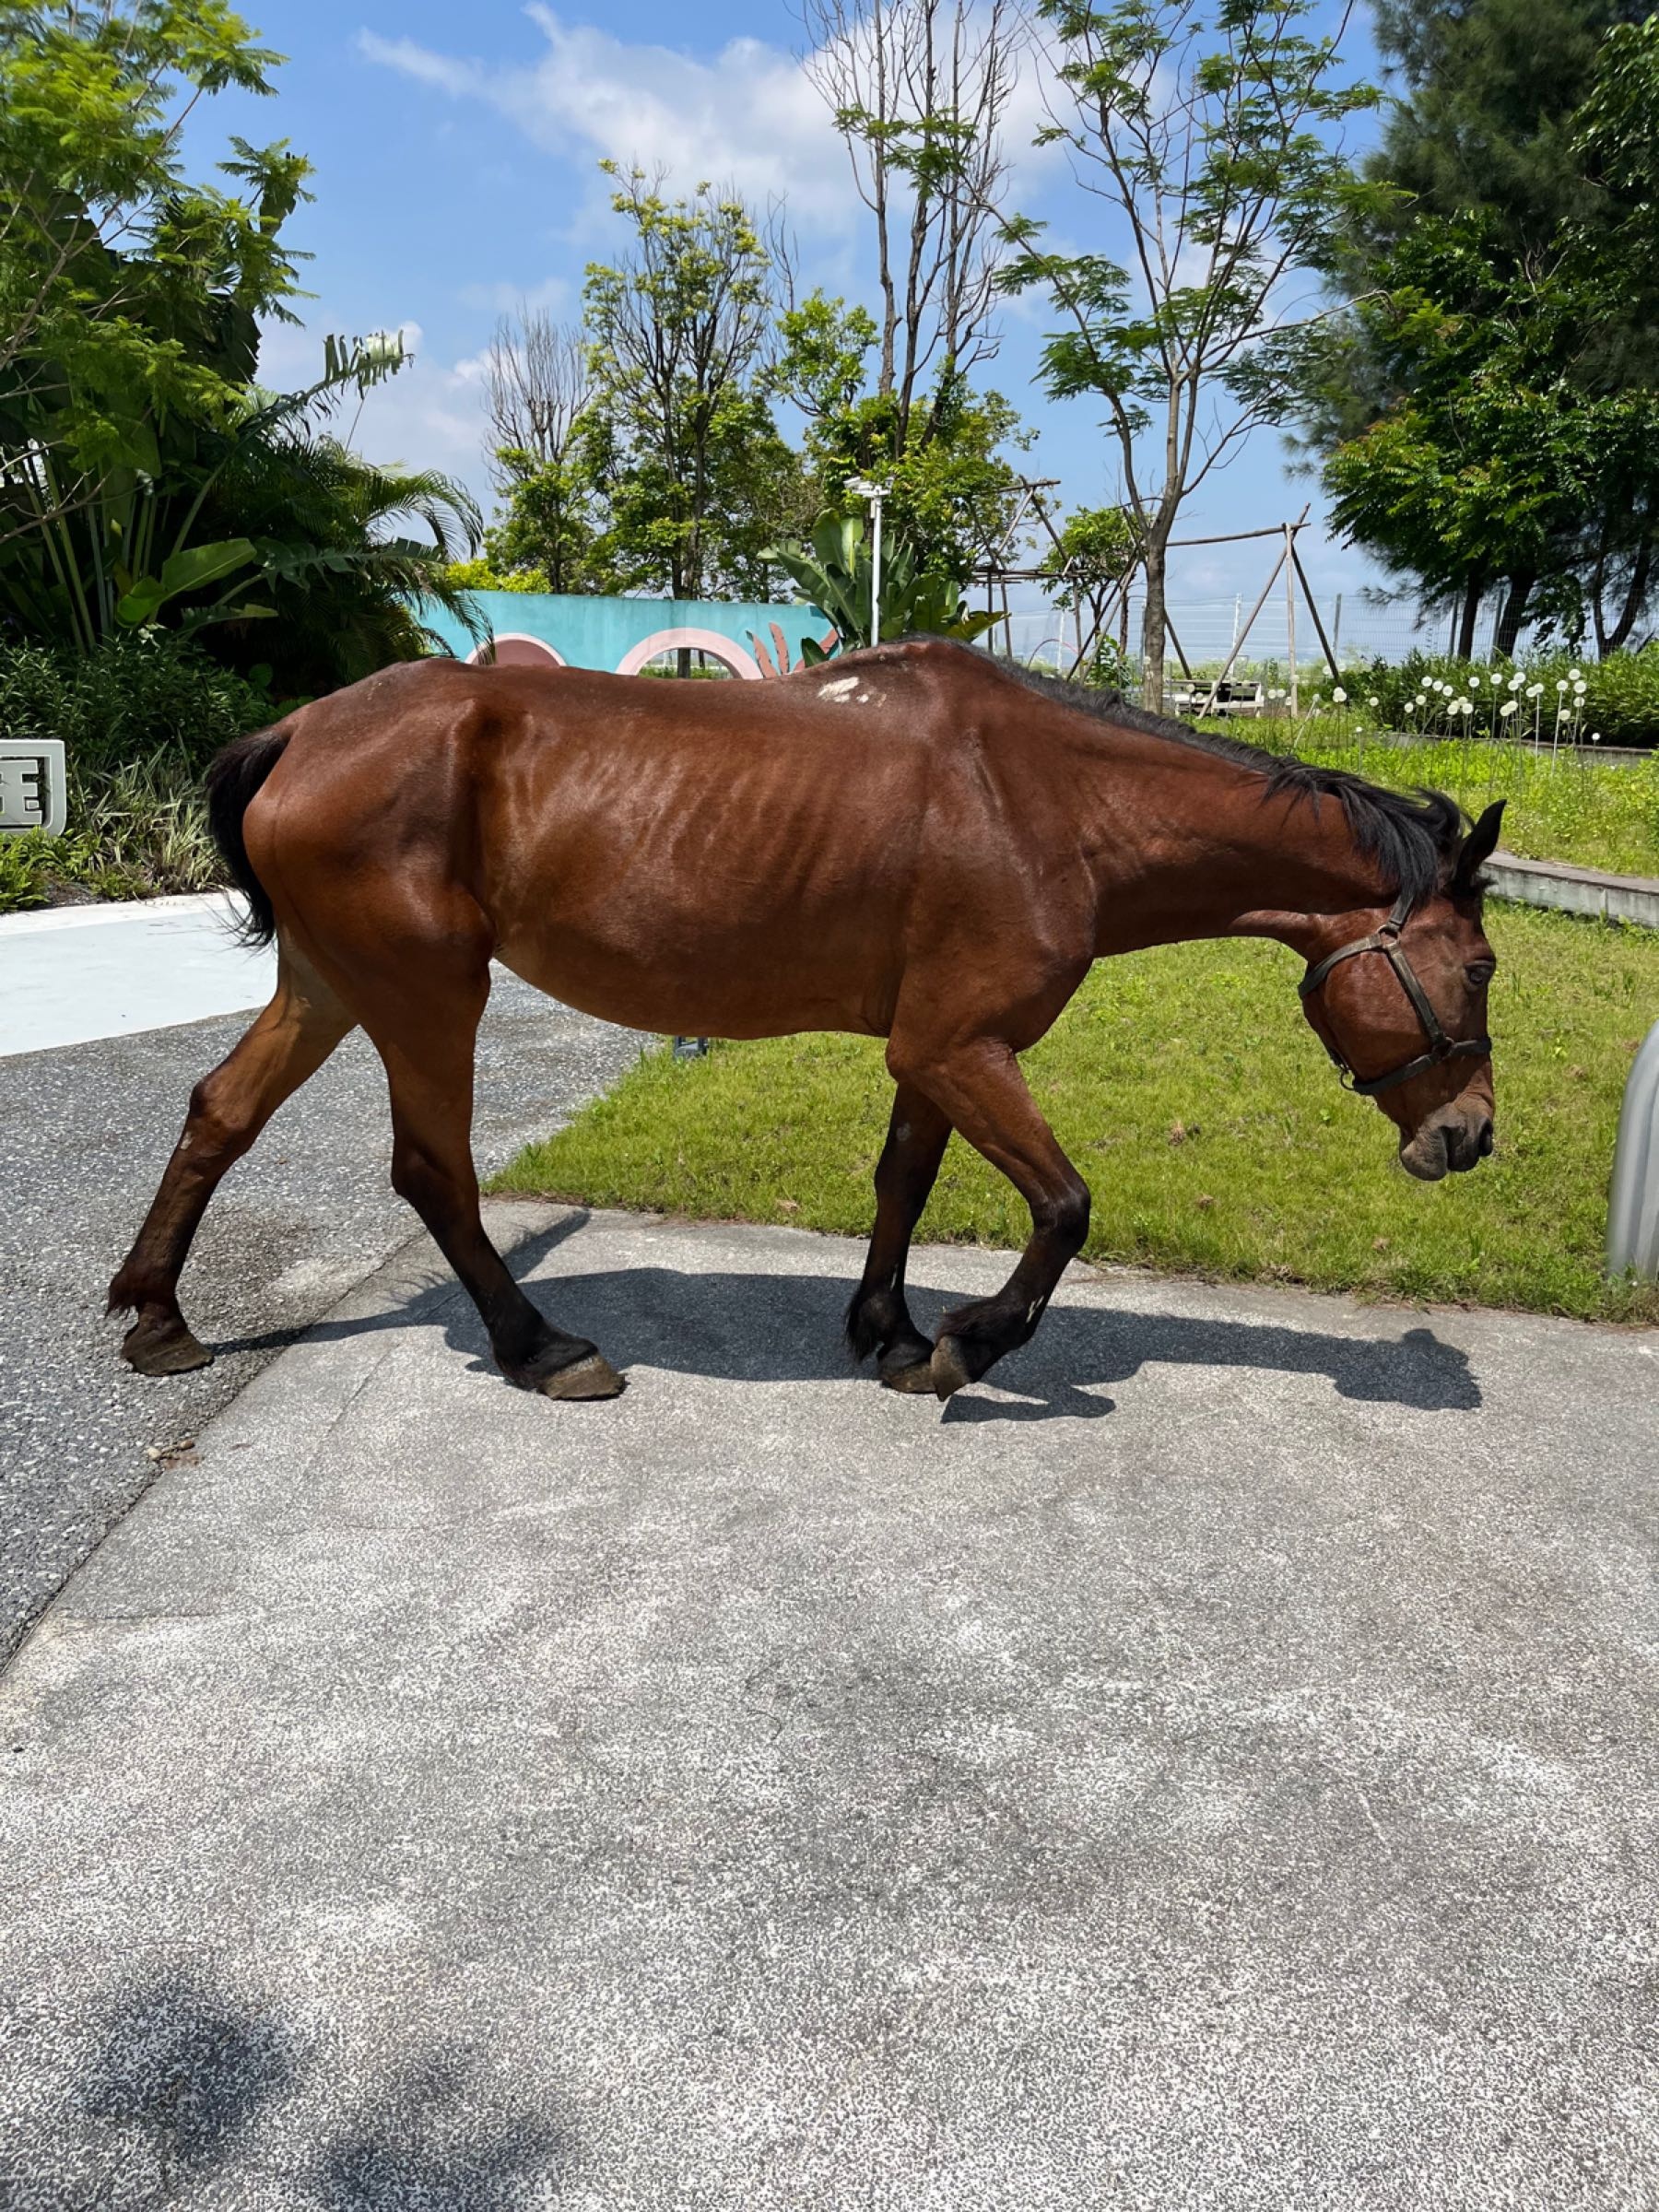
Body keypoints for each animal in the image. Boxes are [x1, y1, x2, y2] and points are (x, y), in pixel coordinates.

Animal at [103, 637, 1504, 1397]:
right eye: (1484, 969)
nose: (1474, 1137)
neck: (1048, 802)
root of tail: (300, 731)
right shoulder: (961, 1046)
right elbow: (1063, 1206)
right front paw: (970, 1344)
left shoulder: (936, 1048)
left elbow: (902, 1181)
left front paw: (889, 1329)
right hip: (425, 994)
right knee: (432, 1171)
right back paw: (542, 1346)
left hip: (333, 984)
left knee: (219, 1114)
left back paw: (160, 1318)